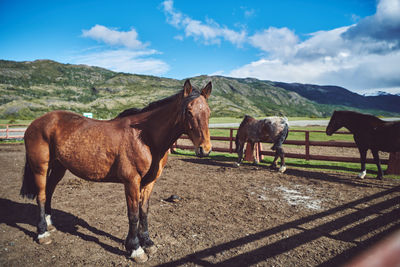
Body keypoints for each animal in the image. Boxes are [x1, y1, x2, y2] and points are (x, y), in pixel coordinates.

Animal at [19, 79, 212, 264]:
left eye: (209, 112)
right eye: (188, 111)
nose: (205, 149)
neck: (145, 138)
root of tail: (35, 123)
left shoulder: (149, 183)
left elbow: (144, 211)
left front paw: (147, 242)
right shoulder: (132, 182)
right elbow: (133, 215)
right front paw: (135, 249)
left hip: (59, 166)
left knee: (49, 191)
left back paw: (49, 223)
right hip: (40, 168)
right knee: (41, 195)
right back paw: (42, 233)